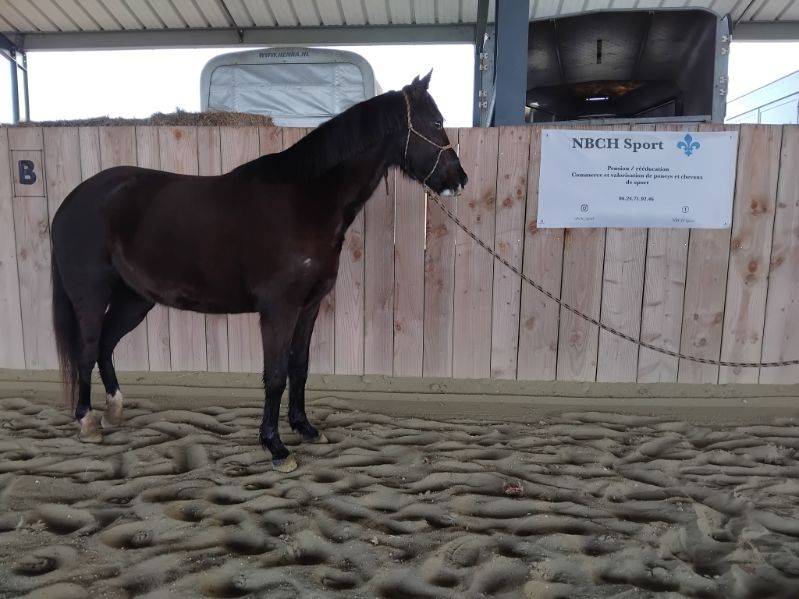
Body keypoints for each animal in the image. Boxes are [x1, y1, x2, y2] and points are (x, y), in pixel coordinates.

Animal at [50, 71, 468, 472]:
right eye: (435, 122)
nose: (459, 180)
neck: (305, 202)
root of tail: (71, 201)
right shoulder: (278, 309)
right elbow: (276, 374)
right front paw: (276, 447)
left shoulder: (309, 305)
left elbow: (299, 366)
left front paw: (305, 428)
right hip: (92, 296)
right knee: (87, 348)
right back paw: (87, 422)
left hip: (135, 299)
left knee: (105, 345)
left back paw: (114, 412)